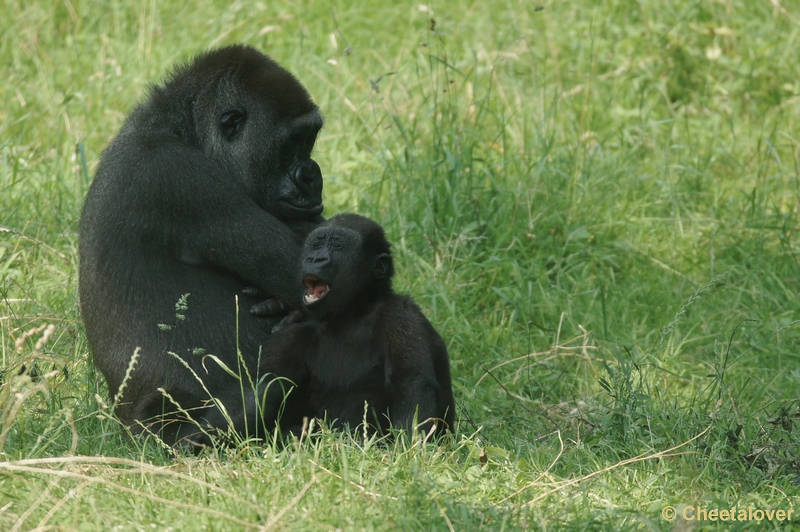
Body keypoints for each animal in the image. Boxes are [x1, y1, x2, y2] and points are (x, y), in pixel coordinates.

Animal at [77, 44, 322, 448]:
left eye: (310, 139)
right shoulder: (184, 178)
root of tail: (128, 430)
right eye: (292, 144)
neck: (181, 128)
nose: (312, 176)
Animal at [266, 213, 454, 436]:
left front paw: (410, 444)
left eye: (337, 245)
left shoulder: (400, 313)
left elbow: (411, 383)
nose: (315, 259)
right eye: (316, 244)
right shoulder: (293, 334)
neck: (352, 313)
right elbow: (264, 390)